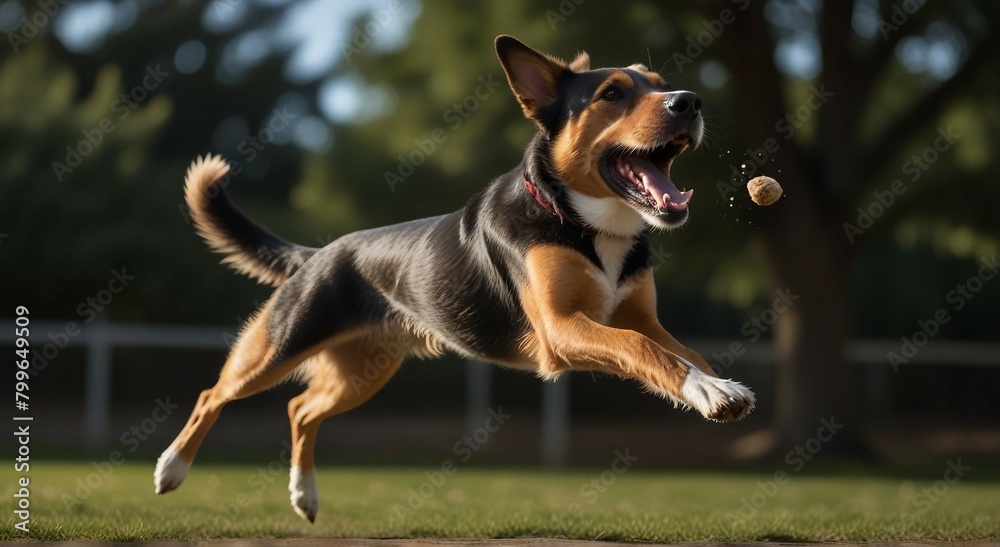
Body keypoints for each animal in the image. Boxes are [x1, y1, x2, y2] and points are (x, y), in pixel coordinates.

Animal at [154, 34, 752, 524]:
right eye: (612, 93)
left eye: (660, 85)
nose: (689, 101)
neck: (587, 225)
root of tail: (320, 254)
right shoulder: (562, 328)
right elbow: (642, 350)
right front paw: (709, 391)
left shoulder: (642, 318)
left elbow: (682, 354)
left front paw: (717, 386)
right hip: (281, 344)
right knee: (214, 394)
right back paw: (171, 468)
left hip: (363, 371)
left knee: (299, 410)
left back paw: (305, 495)